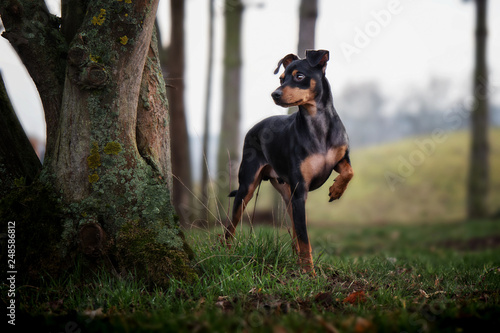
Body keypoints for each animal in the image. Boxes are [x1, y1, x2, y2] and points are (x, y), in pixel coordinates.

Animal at [225, 49, 354, 272]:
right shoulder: (300, 191)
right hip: (248, 186)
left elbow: (349, 172)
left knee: (294, 232)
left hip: (288, 195)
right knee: (230, 228)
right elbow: (305, 238)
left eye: (299, 76)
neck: (318, 125)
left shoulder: (340, 160)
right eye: (281, 78)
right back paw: (226, 252)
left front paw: (336, 190)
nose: (275, 94)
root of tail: (255, 127)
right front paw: (309, 274)